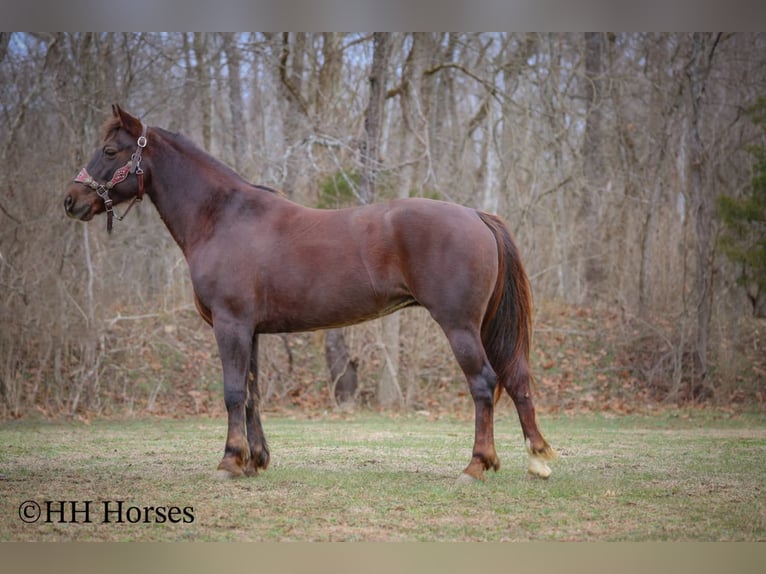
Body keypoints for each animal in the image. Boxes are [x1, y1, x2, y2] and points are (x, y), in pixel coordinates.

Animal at [63, 105, 555, 482]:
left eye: (110, 150)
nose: (71, 200)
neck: (222, 218)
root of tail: (475, 214)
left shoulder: (230, 325)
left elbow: (232, 392)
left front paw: (229, 462)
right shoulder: (250, 331)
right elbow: (253, 392)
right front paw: (254, 461)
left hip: (459, 326)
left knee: (484, 383)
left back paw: (476, 466)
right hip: (485, 326)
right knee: (517, 380)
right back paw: (537, 460)